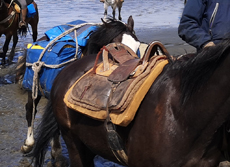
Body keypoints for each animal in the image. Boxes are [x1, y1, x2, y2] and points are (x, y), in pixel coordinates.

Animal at [18, 15, 140, 157]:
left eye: (137, 45)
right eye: (115, 47)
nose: (132, 70)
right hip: (34, 88)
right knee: (30, 110)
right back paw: (28, 143)